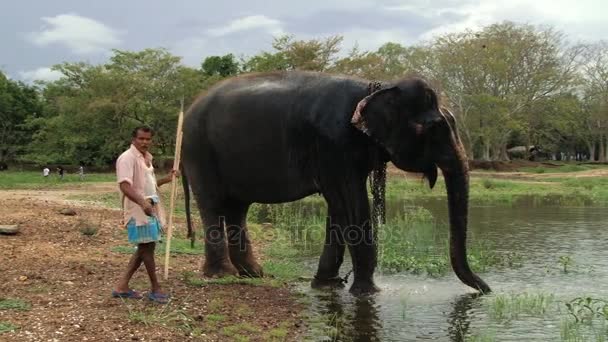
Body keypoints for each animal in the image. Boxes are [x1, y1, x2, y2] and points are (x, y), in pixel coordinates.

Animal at [178, 70, 492, 294]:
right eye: (434, 128)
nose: (486, 290)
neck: (377, 86)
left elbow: (340, 207)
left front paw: (327, 285)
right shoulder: (334, 143)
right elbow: (351, 203)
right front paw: (368, 292)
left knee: (237, 208)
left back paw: (255, 274)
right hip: (199, 150)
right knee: (213, 203)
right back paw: (223, 275)